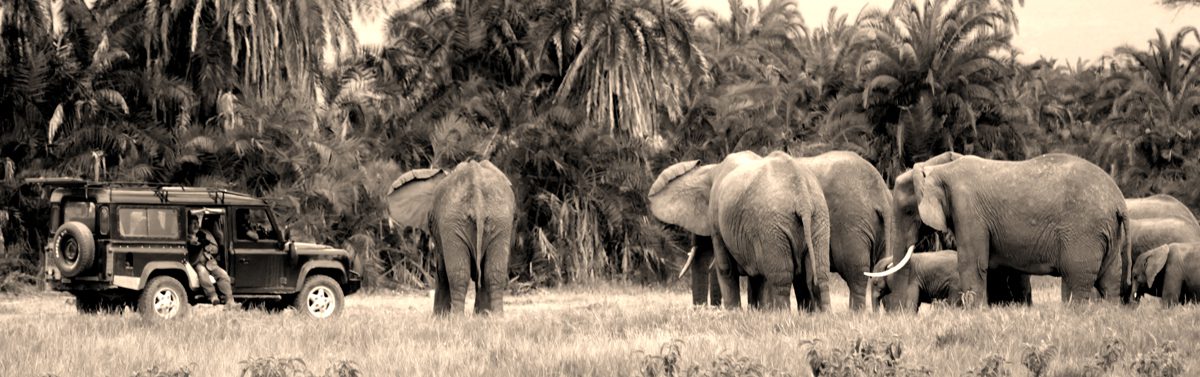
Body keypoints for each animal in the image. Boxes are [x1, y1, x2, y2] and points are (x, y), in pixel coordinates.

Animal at [386, 159, 513, 314]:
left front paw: (440, 317)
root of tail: (477, 191)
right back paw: (496, 316)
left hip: (457, 221)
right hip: (497, 220)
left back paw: (457, 317)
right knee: (493, 273)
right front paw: (482, 316)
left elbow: (441, 270)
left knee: (458, 274)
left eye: (430, 219)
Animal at [648, 150, 835, 312]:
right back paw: (823, 315)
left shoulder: (717, 218)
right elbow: (758, 273)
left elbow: (725, 267)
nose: (700, 310)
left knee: (781, 276)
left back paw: (782, 314)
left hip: (772, 226)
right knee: (819, 273)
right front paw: (758, 312)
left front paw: (734, 312)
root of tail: (801, 195)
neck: (711, 170)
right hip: (819, 218)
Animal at [868, 150, 1128, 306]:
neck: (939, 169)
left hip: (1084, 232)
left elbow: (972, 262)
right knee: (1109, 280)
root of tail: (1119, 201)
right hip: (1107, 232)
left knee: (1076, 279)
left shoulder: (967, 209)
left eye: (908, 211)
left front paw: (975, 313)